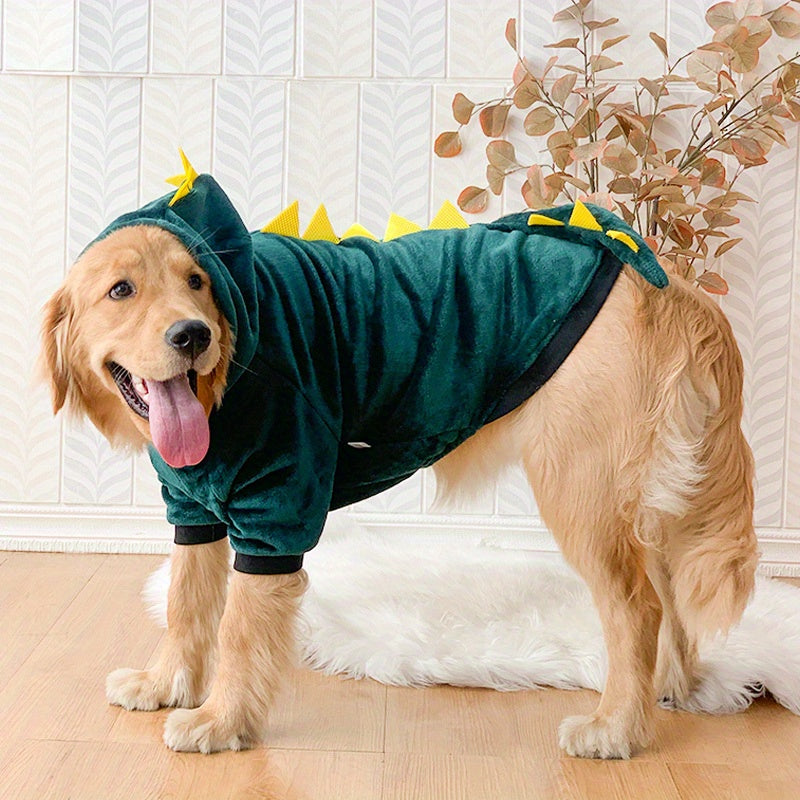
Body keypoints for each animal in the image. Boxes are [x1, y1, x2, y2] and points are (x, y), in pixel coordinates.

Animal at [42, 167, 756, 756]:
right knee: (666, 595)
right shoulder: (194, 508)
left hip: (580, 489)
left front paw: (221, 721)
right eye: (121, 290)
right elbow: (186, 604)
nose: (193, 335)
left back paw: (616, 728)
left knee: (637, 609)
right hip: (635, 500)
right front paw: (165, 684)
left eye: (196, 281)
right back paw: (668, 689)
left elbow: (240, 629)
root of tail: (663, 279)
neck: (233, 374)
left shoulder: (276, 508)